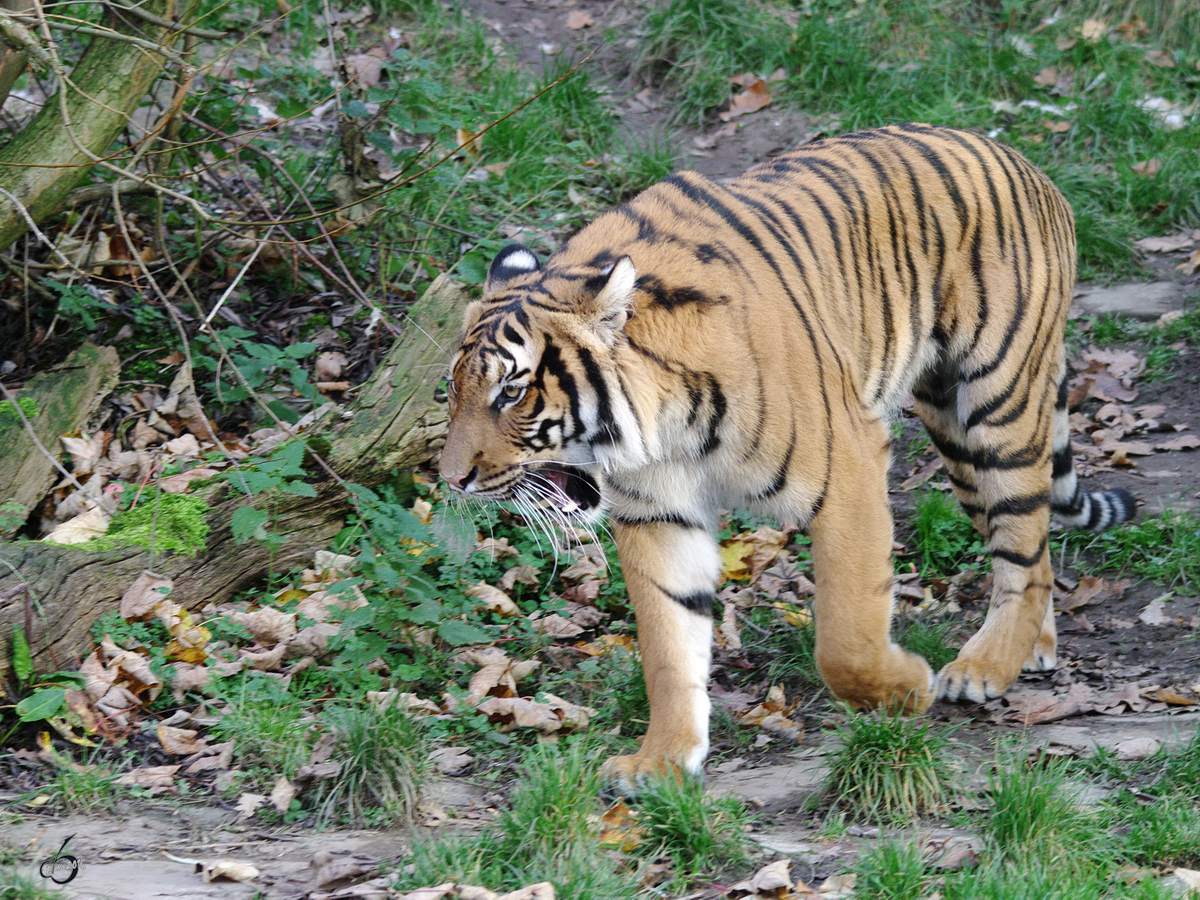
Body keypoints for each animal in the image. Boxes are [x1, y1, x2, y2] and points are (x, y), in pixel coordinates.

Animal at [434, 123, 1132, 792]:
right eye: (453, 387)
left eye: (511, 391)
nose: (450, 479)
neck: (658, 427)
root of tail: (1028, 166)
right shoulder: (659, 513)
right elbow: (668, 644)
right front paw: (662, 762)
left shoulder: (849, 468)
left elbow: (847, 635)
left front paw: (906, 686)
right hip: (955, 435)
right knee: (1033, 543)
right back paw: (1029, 648)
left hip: (996, 406)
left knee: (1024, 544)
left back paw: (984, 666)